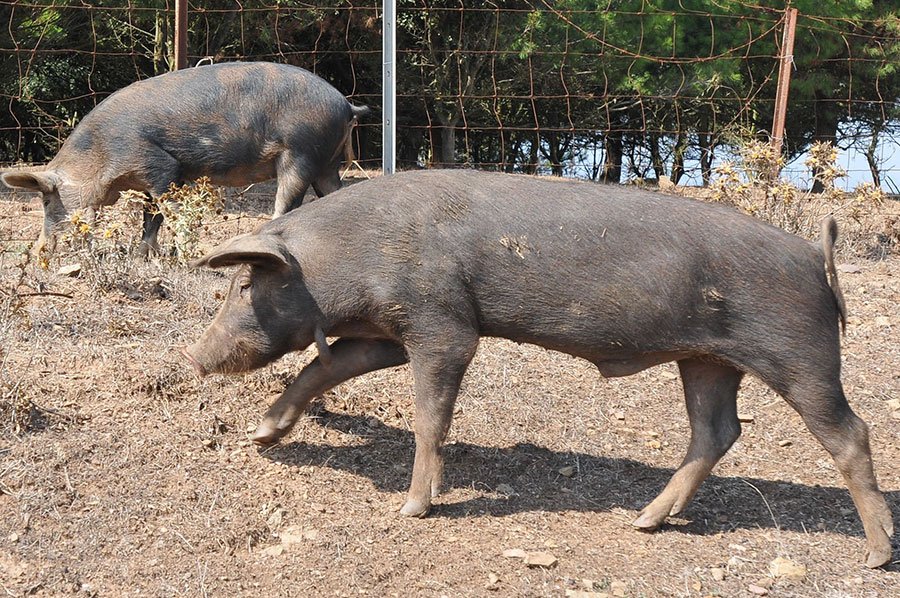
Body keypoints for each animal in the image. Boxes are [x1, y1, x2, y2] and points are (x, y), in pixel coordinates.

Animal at [0, 62, 368, 254]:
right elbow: (150, 217)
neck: (99, 156)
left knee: (285, 203)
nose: (39, 251)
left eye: (46, 200)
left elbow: (169, 211)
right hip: (326, 163)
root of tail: (345, 104)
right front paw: (142, 255)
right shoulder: (147, 178)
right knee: (336, 193)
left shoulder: (161, 167)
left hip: (301, 152)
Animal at [183, 171, 892, 568]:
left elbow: (429, 414)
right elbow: (318, 369)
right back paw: (644, 521)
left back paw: (877, 556)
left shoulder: (443, 325)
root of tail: (815, 255)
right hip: (708, 360)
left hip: (800, 354)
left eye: (242, 286)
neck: (346, 254)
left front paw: (412, 509)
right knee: (716, 432)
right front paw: (262, 435)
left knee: (850, 432)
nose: (195, 356)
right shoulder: (388, 333)